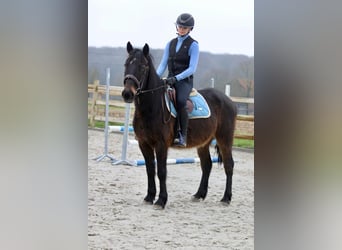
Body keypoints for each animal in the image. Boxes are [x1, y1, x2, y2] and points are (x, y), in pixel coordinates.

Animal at [121, 42, 236, 209]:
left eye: (143, 66)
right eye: (126, 64)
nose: (127, 94)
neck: (152, 106)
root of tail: (229, 101)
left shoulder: (161, 144)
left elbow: (162, 171)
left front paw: (161, 200)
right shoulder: (144, 143)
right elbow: (150, 170)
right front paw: (149, 197)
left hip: (224, 139)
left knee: (228, 165)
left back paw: (226, 198)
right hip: (203, 143)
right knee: (207, 165)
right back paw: (199, 195)